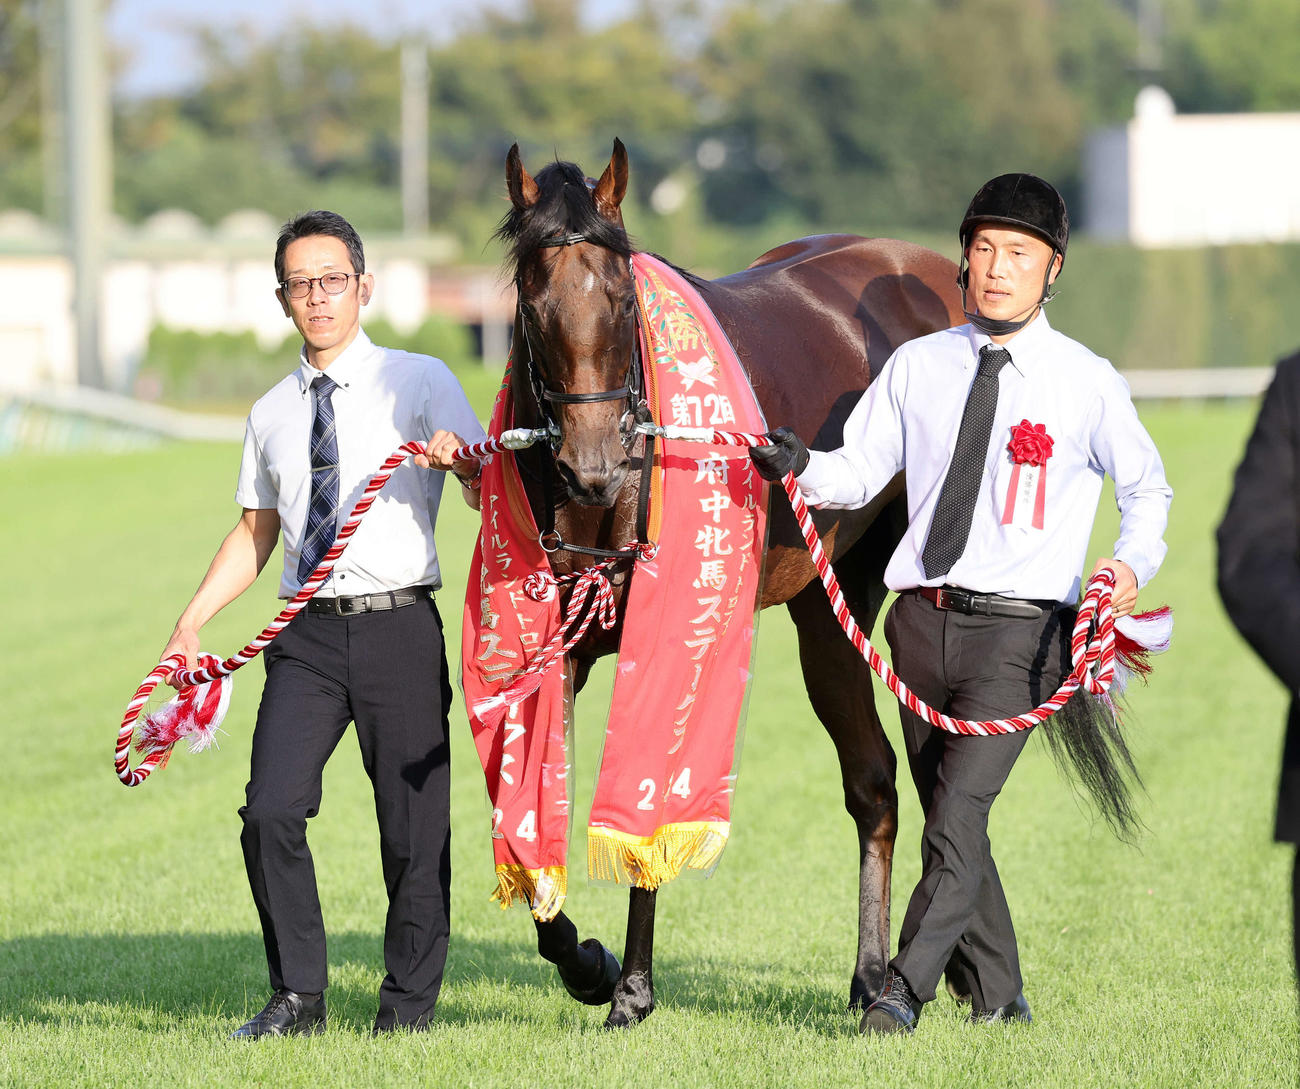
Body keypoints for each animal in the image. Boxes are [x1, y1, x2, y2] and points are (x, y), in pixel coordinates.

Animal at [490, 138, 964, 1029]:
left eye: (621, 299)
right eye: (532, 303)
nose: (593, 465)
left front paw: (632, 986)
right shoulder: (559, 644)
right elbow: (529, 809)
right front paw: (586, 961)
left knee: (894, 776)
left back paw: (886, 970)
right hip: (823, 604)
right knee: (874, 777)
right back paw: (879, 972)